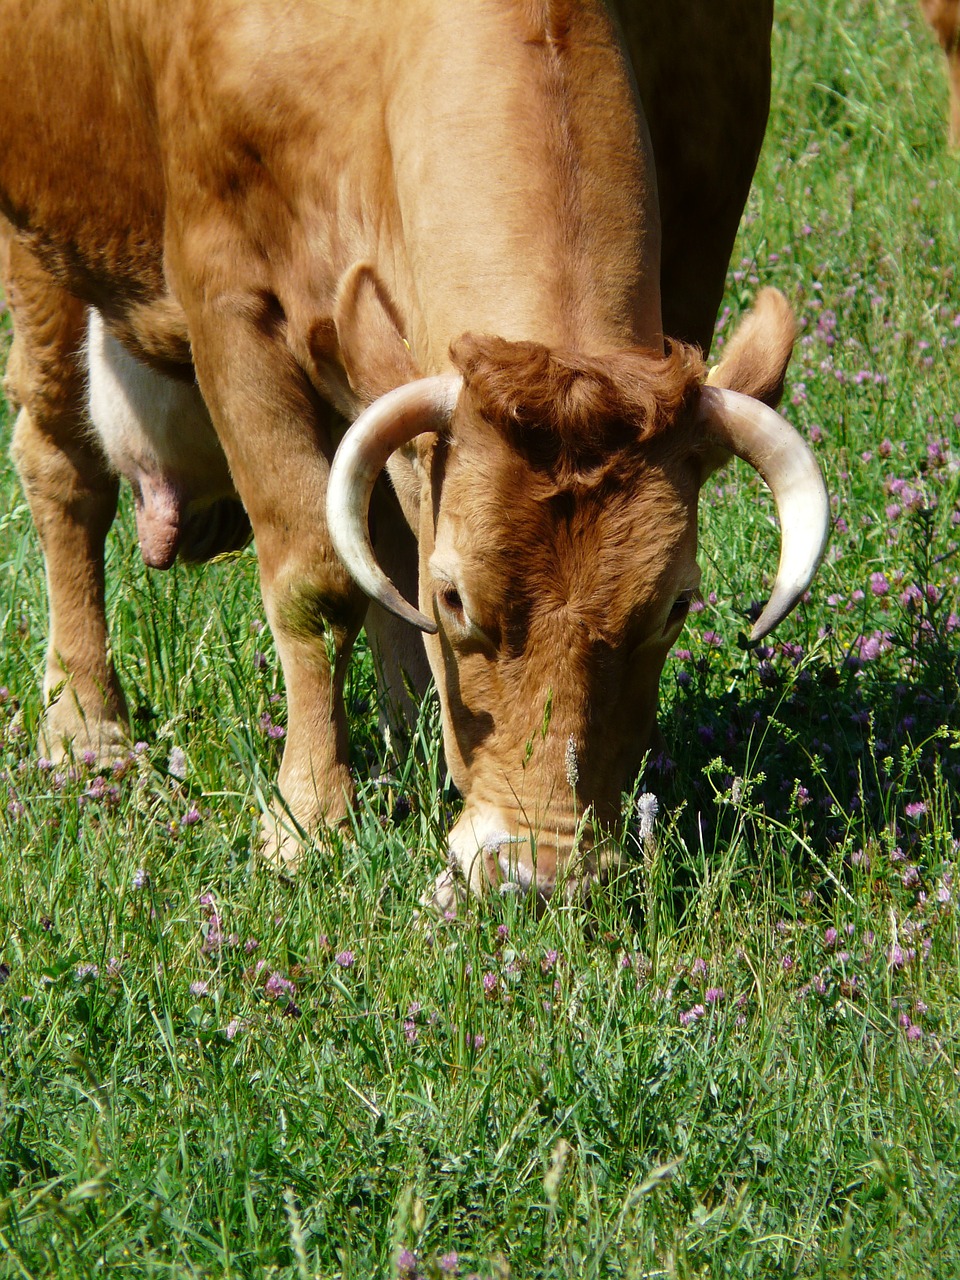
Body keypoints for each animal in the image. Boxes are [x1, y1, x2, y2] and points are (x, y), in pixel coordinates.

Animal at [0, 0, 829, 911]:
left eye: (678, 605)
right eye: (456, 597)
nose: (536, 876)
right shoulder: (230, 304)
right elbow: (315, 582)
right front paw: (307, 821)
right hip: (44, 245)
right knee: (63, 469)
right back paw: (85, 729)